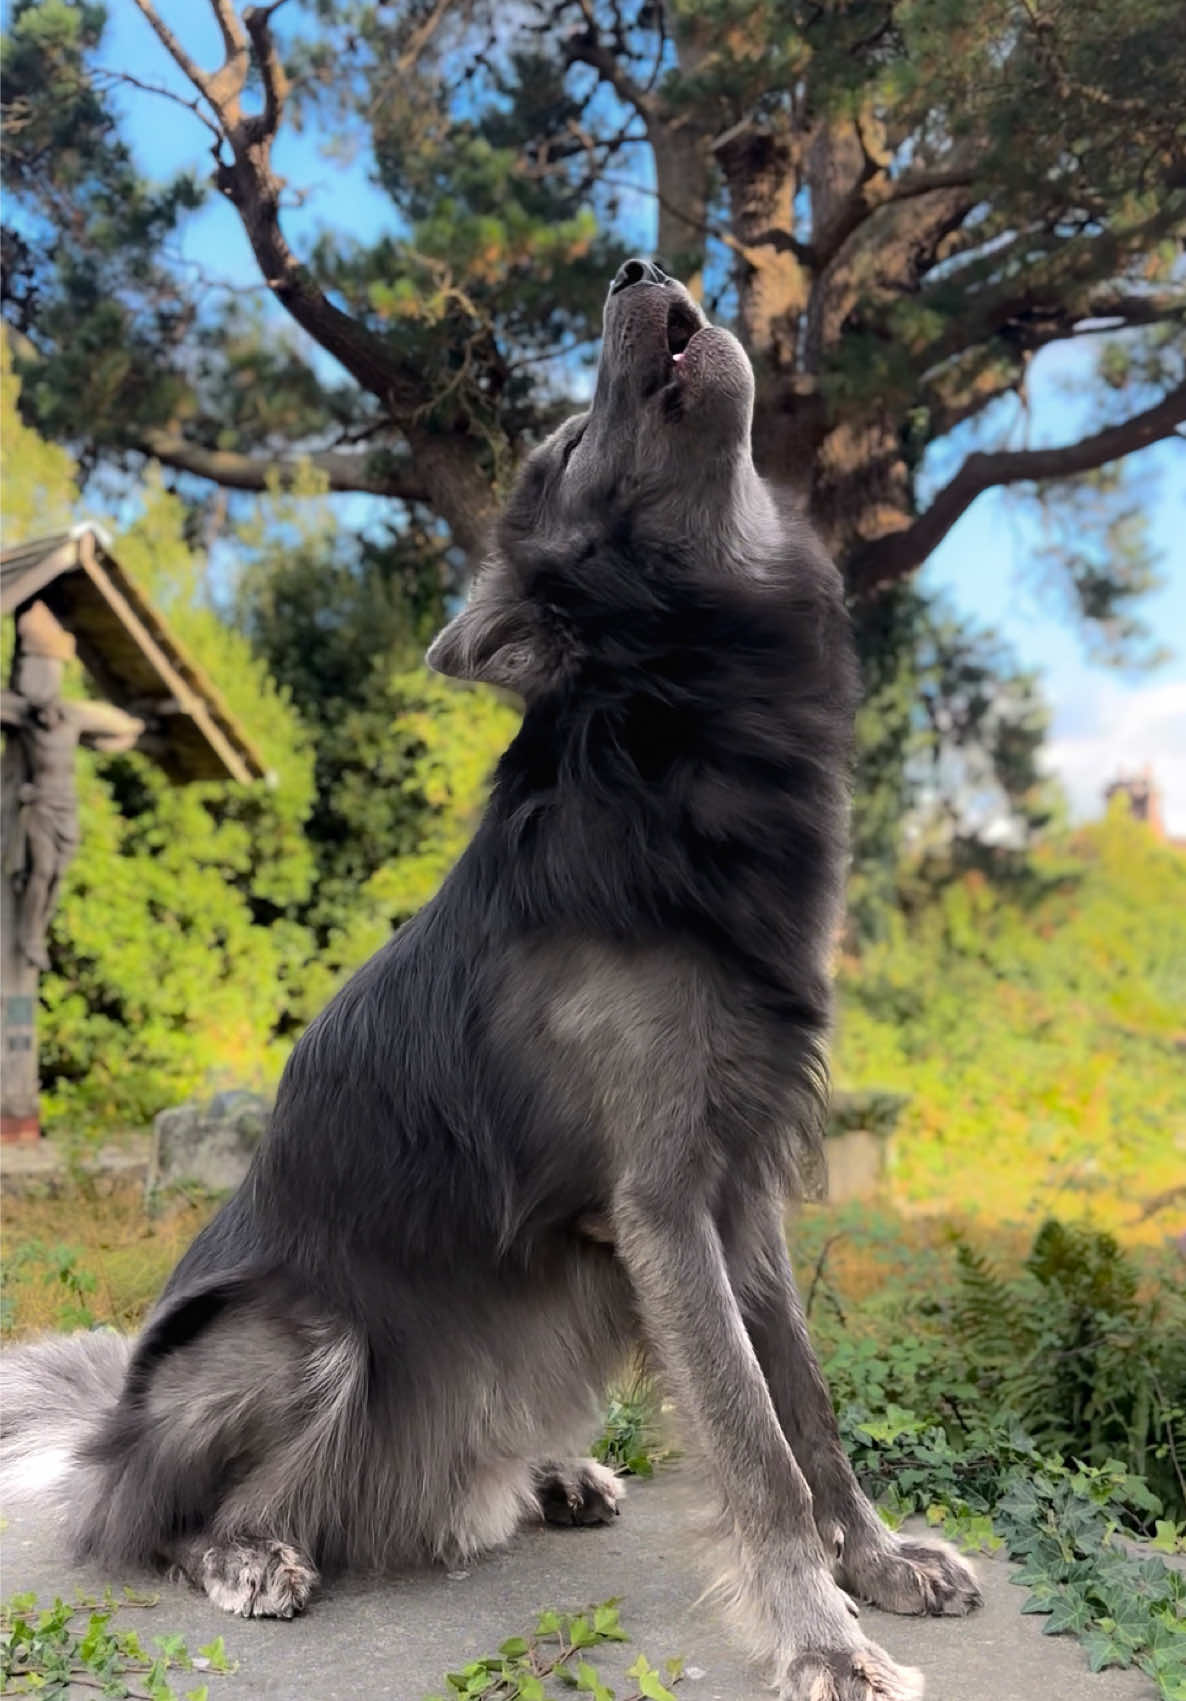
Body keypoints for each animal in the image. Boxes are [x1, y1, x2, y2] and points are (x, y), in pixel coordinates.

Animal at [2, 259, 979, 1700]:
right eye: (567, 452)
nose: (633, 267)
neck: (675, 717)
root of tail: (107, 1432)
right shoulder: (664, 1207)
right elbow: (754, 1446)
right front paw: (823, 1641)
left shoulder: (738, 1195)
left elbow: (807, 1408)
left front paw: (880, 1565)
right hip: (305, 1339)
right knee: (161, 1522)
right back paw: (247, 1555)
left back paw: (548, 1475)